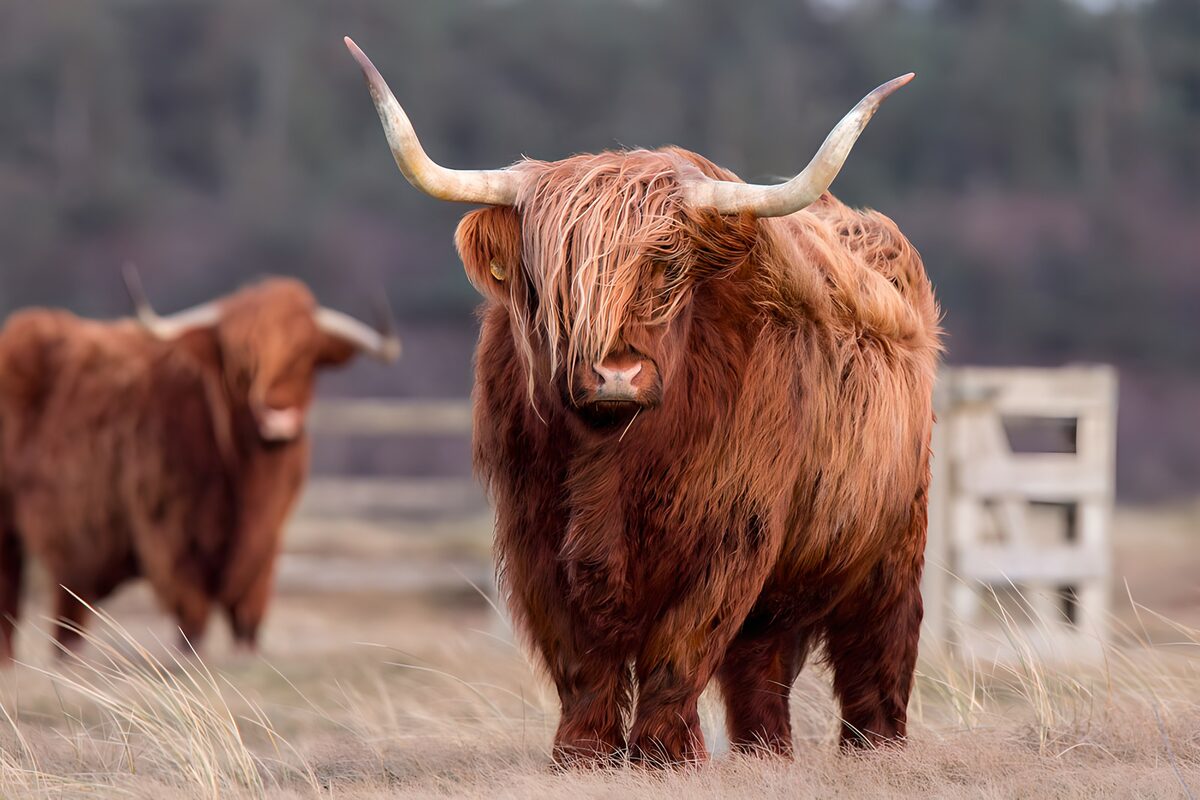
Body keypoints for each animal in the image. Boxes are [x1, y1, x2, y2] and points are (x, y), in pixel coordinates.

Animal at [0, 273, 399, 661]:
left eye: (305, 354)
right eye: (241, 363)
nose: (277, 421)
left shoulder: (267, 542)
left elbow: (249, 616)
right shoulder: (169, 536)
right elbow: (193, 617)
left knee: (67, 612)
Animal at [347, 38, 940, 767]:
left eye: (667, 268)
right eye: (552, 279)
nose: (615, 373)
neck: (612, 451)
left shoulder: (732, 531)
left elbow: (681, 645)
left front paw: (664, 753)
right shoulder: (533, 535)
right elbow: (579, 660)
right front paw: (582, 752)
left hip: (892, 547)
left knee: (878, 652)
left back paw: (874, 749)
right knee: (761, 668)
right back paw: (763, 753)